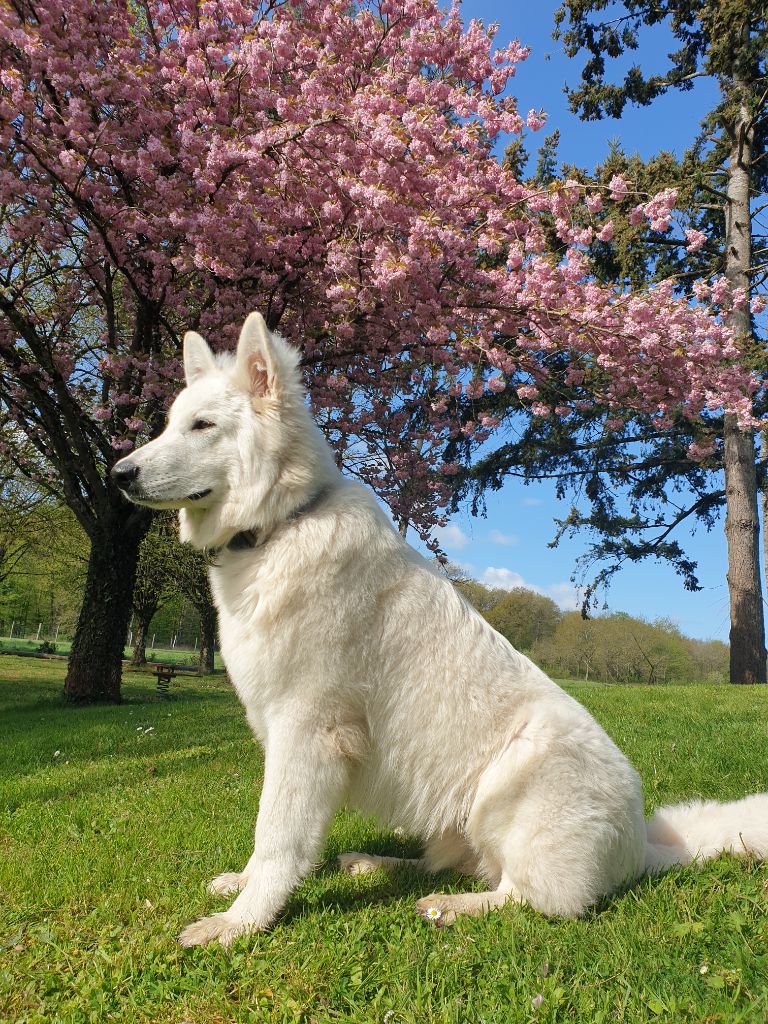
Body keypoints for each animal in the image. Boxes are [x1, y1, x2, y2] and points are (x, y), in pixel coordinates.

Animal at [112, 313, 768, 950]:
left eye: (201, 426)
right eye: (169, 425)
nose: (120, 472)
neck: (282, 524)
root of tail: (642, 846)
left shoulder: (308, 731)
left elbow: (277, 834)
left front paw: (242, 923)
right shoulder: (283, 736)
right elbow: (270, 833)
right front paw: (243, 889)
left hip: (512, 774)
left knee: (527, 897)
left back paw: (450, 908)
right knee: (452, 864)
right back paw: (375, 865)